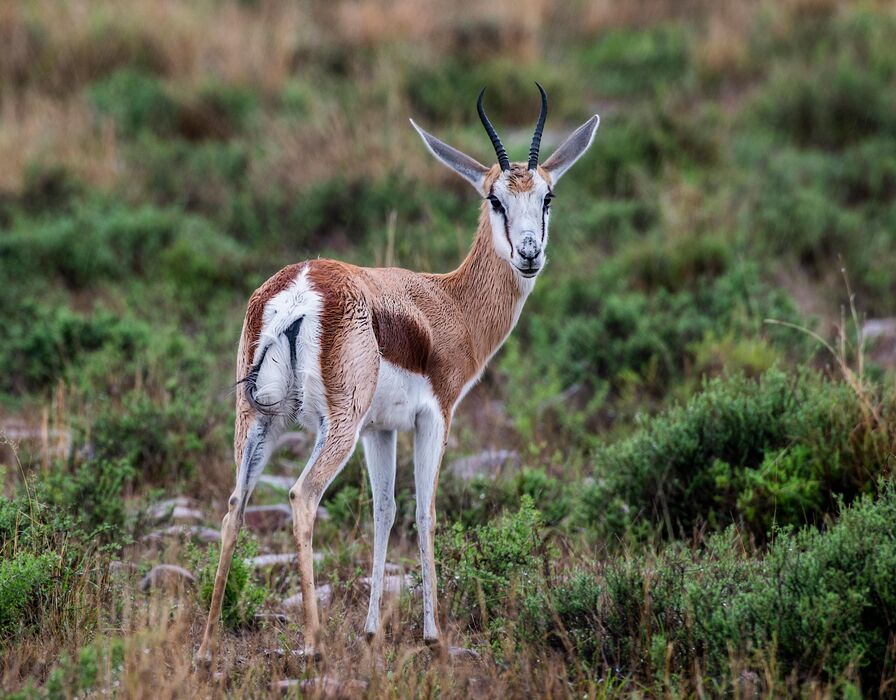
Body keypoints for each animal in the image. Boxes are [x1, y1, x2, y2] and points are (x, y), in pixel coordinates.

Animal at [199, 87, 600, 660]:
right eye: (495, 199)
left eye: (547, 197)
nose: (529, 254)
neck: (449, 304)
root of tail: (299, 289)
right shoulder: (435, 418)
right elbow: (426, 512)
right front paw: (433, 635)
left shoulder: (380, 430)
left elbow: (384, 510)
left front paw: (371, 631)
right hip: (334, 428)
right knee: (302, 497)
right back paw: (314, 643)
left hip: (258, 422)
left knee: (235, 505)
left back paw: (207, 647)